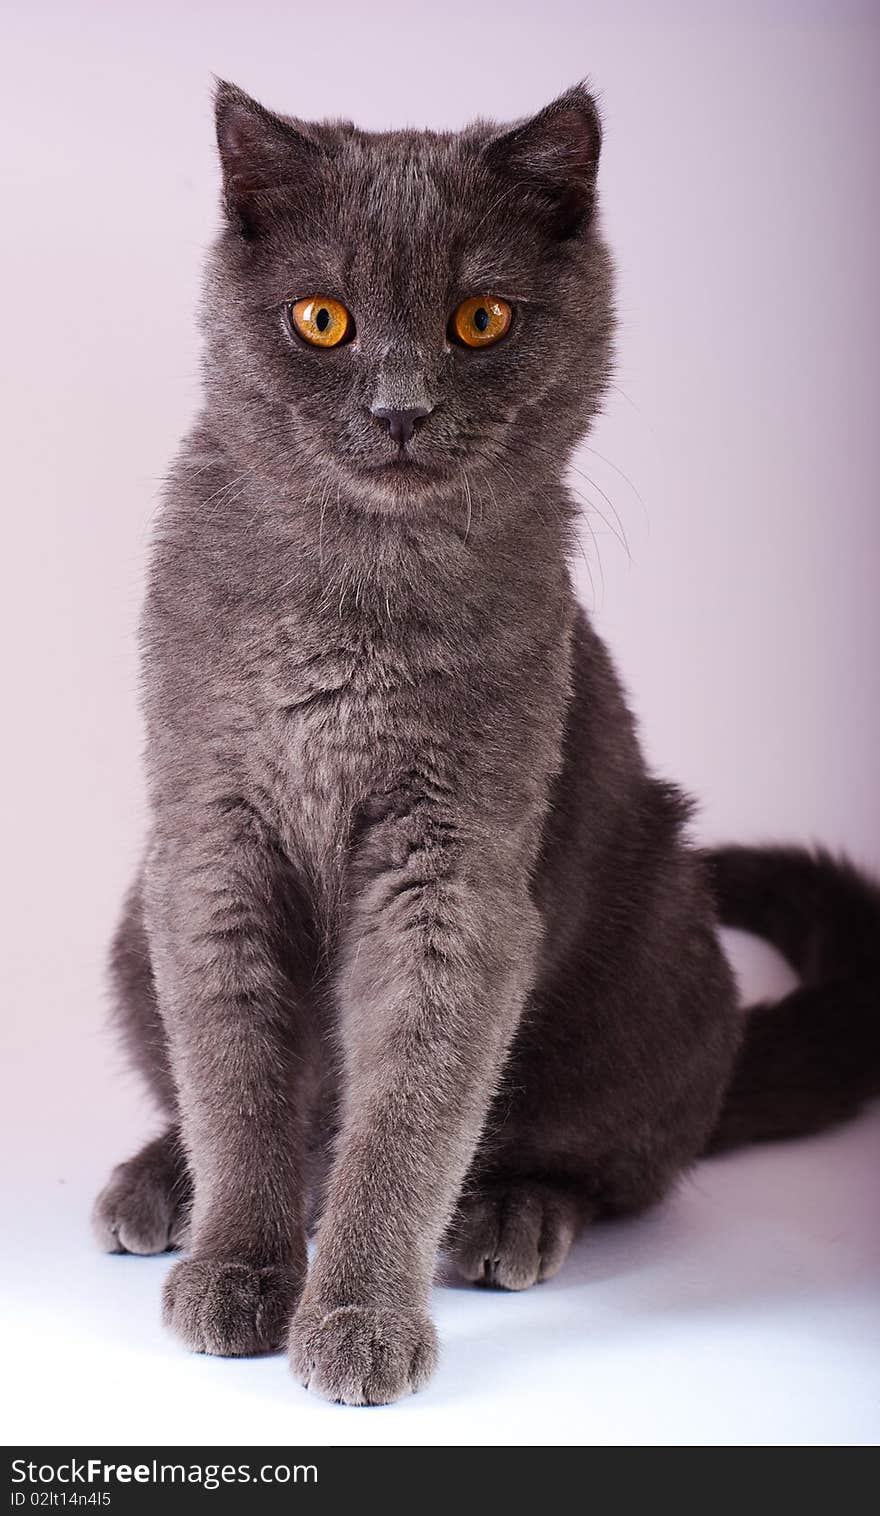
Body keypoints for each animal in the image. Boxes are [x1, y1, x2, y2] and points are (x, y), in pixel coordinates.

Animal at [92, 83, 873, 1400]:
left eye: (480, 317)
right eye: (322, 320)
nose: (400, 410)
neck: (353, 601)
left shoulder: (452, 880)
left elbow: (408, 1115)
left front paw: (357, 1315)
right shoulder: (212, 841)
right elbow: (237, 1080)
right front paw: (237, 1266)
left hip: (656, 947)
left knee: (614, 1157)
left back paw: (512, 1212)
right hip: (131, 921)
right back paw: (160, 1181)